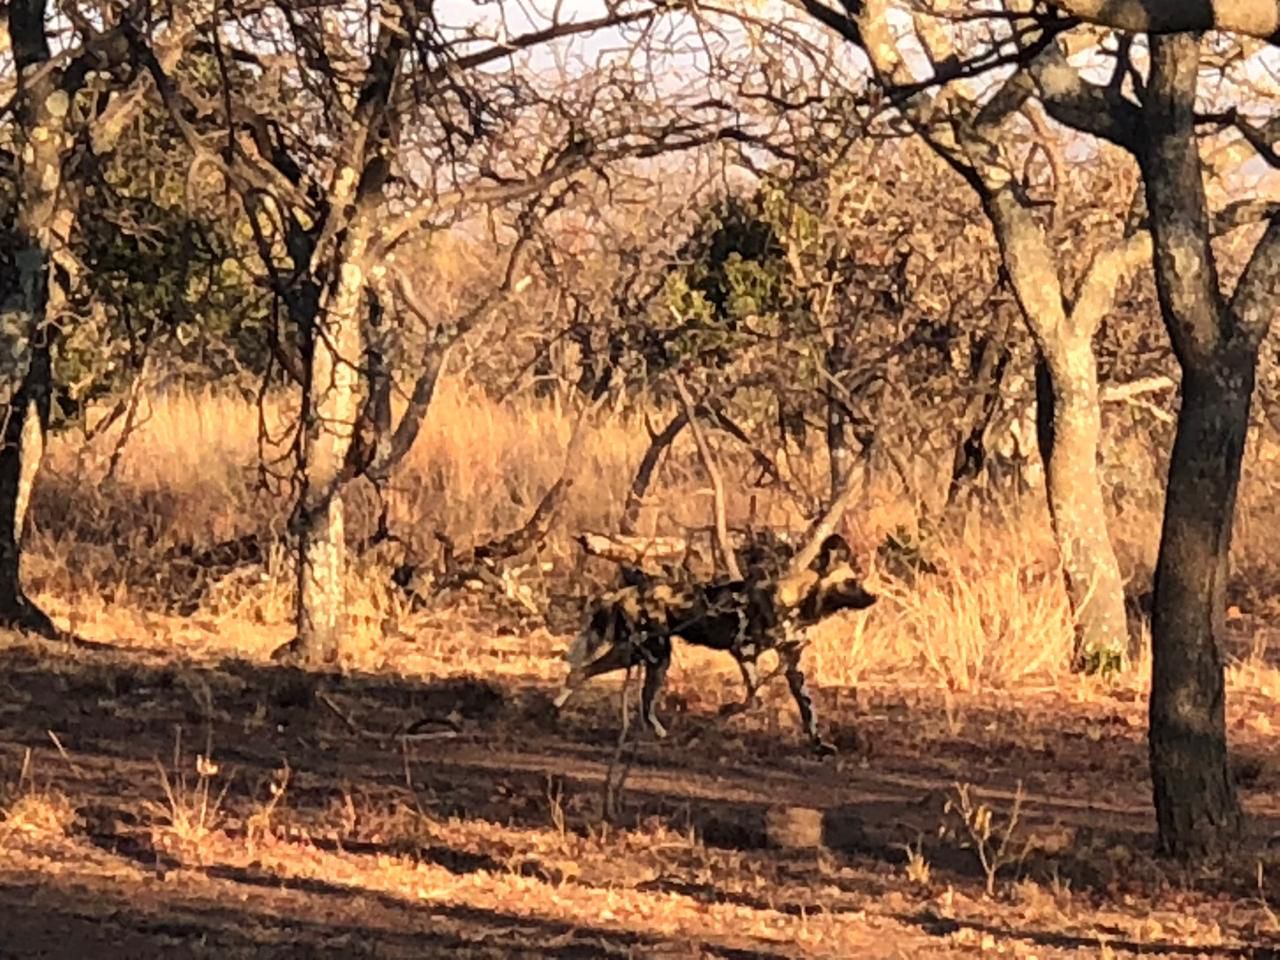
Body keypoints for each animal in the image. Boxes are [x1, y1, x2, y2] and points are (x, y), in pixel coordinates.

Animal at [555, 537, 875, 757]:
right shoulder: (743, 651)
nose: (874, 598)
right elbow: (755, 697)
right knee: (604, 681)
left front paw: (819, 745)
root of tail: (623, 593)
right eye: (850, 582)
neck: (798, 600)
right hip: (651, 654)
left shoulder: (791, 664)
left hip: (643, 655)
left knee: (589, 675)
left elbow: (808, 710)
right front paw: (726, 710)